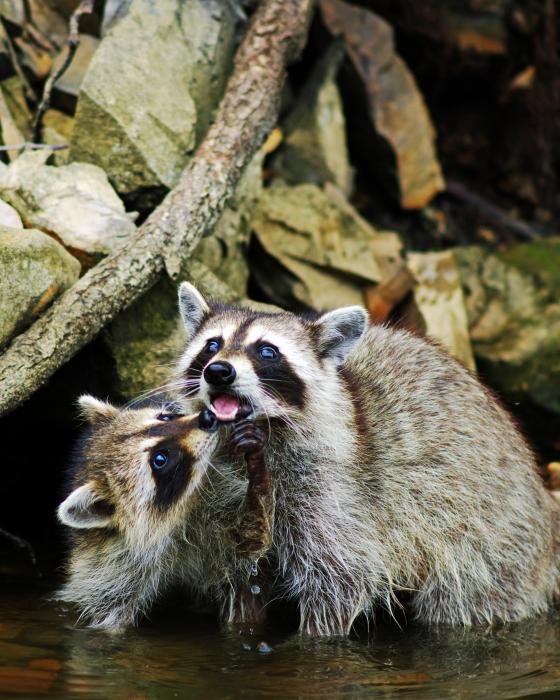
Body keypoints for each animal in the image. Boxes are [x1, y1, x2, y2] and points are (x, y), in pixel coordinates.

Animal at [56, 396, 272, 629]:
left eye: (165, 418)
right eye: (160, 459)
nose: (207, 417)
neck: (179, 513)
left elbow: (247, 539)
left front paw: (257, 475)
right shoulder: (107, 563)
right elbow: (108, 611)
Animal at [175, 282, 560, 636]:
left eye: (267, 351)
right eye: (212, 345)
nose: (219, 371)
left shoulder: (336, 495)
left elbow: (340, 580)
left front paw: (314, 639)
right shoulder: (224, 495)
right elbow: (240, 575)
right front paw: (239, 625)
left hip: (492, 539)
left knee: (462, 600)